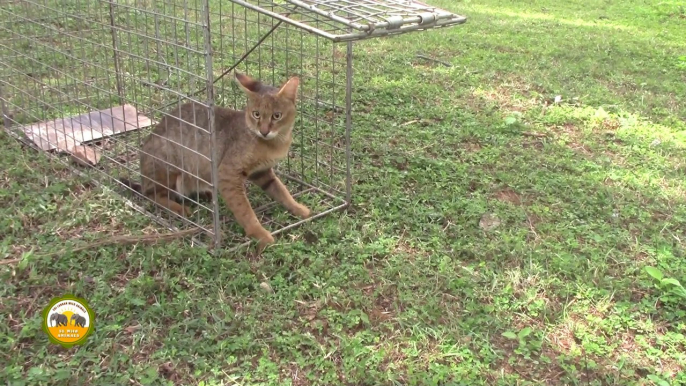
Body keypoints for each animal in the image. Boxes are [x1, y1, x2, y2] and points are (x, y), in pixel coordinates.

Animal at [121, 72, 312, 250]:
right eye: (256, 114)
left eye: (276, 116)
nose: (264, 131)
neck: (274, 143)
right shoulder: (228, 174)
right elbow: (245, 210)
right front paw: (261, 235)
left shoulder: (262, 172)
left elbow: (282, 191)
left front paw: (299, 209)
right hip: (169, 160)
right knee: (151, 194)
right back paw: (179, 208)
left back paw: (206, 193)